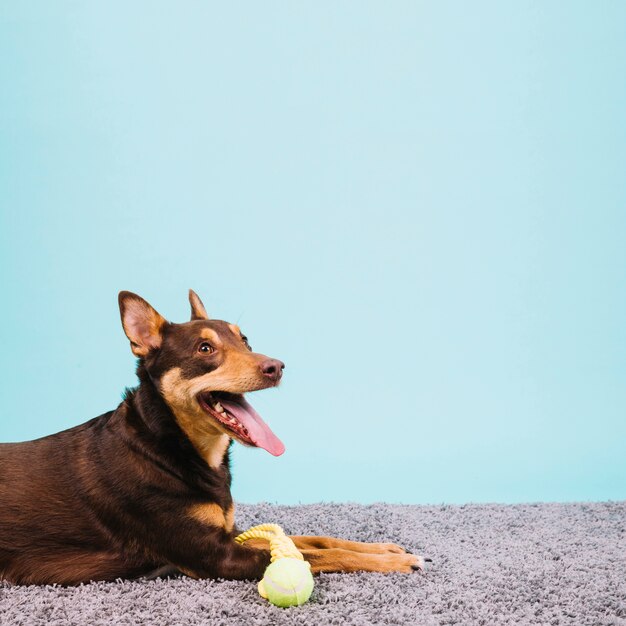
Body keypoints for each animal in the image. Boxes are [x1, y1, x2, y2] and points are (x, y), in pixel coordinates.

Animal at [0, 290, 424, 584]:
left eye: (246, 340)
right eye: (205, 349)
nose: (277, 366)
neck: (167, 445)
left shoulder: (229, 534)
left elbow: (313, 539)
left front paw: (381, 547)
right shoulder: (215, 556)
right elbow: (311, 555)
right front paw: (393, 561)